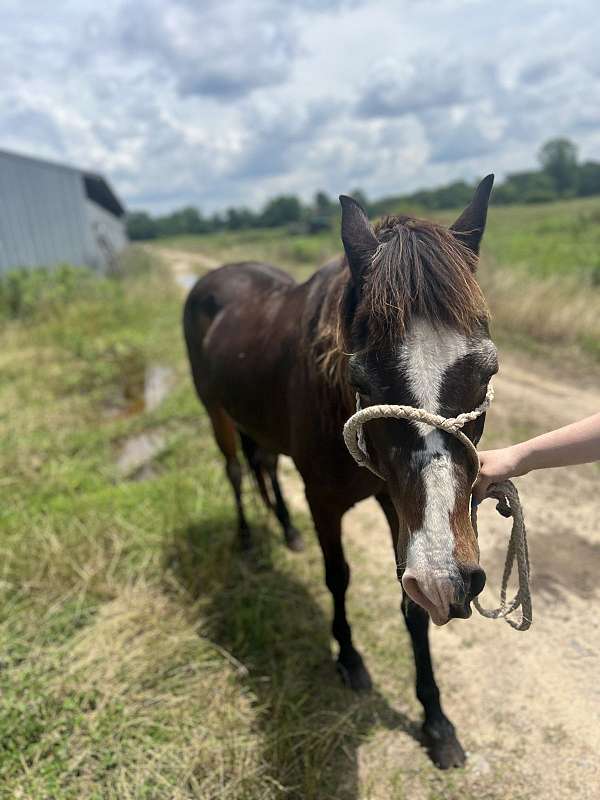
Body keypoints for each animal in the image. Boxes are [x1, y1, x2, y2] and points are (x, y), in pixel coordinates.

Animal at [183, 175, 498, 769]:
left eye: (486, 371)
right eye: (363, 381)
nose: (451, 577)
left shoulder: (398, 506)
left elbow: (411, 603)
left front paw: (436, 721)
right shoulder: (324, 500)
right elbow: (338, 576)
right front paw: (348, 658)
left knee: (262, 465)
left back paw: (285, 530)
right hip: (216, 413)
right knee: (236, 470)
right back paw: (248, 540)